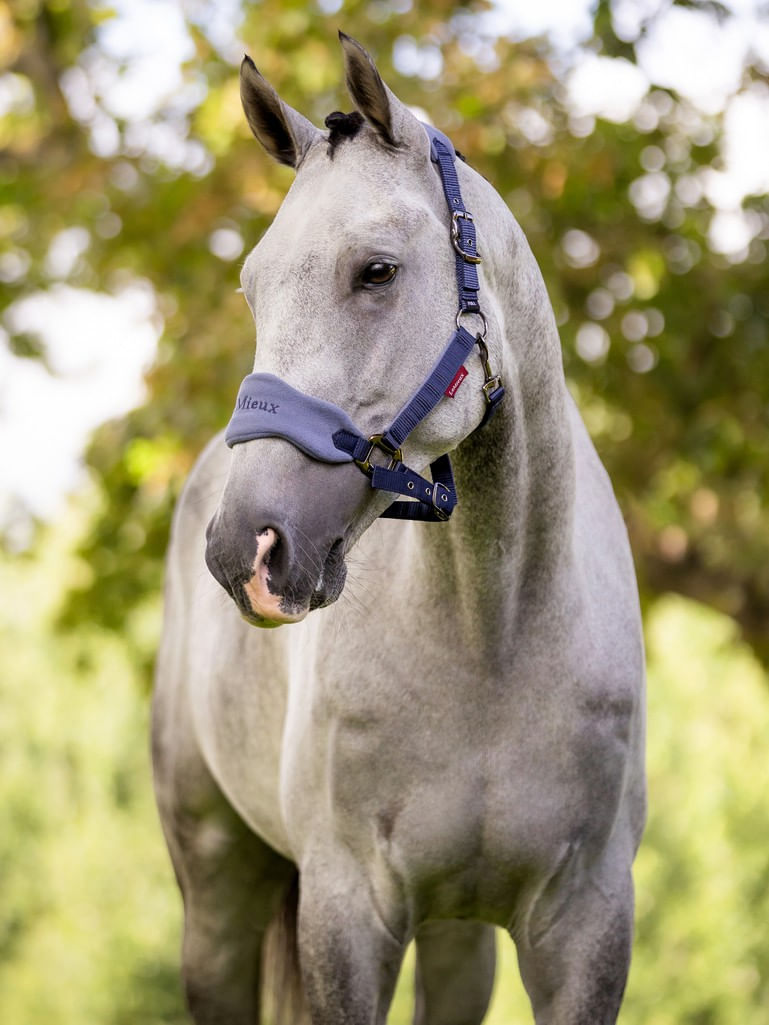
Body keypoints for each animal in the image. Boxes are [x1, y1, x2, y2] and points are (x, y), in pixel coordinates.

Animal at [153, 34, 648, 1025]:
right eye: (253, 289)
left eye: (375, 270)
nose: (244, 548)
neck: (493, 637)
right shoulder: (349, 913)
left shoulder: (586, 926)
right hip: (217, 900)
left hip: (457, 935)